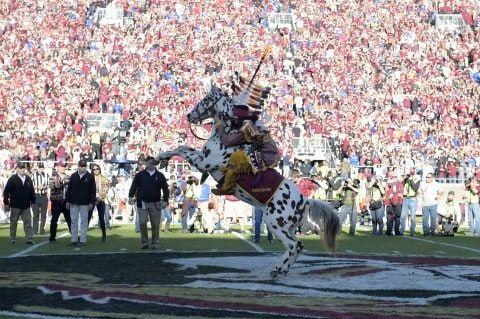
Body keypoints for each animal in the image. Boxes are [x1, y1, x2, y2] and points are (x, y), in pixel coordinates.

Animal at [156, 85, 340, 278]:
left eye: (205, 100)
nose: (189, 116)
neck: (226, 138)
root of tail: (304, 201)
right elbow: (183, 147)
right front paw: (161, 158)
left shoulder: (203, 162)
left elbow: (180, 149)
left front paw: (159, 158)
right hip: (287, 227)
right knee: (297, 245)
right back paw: (281, 269)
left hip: (274, 223)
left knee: (295, 245)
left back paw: (278, 269)